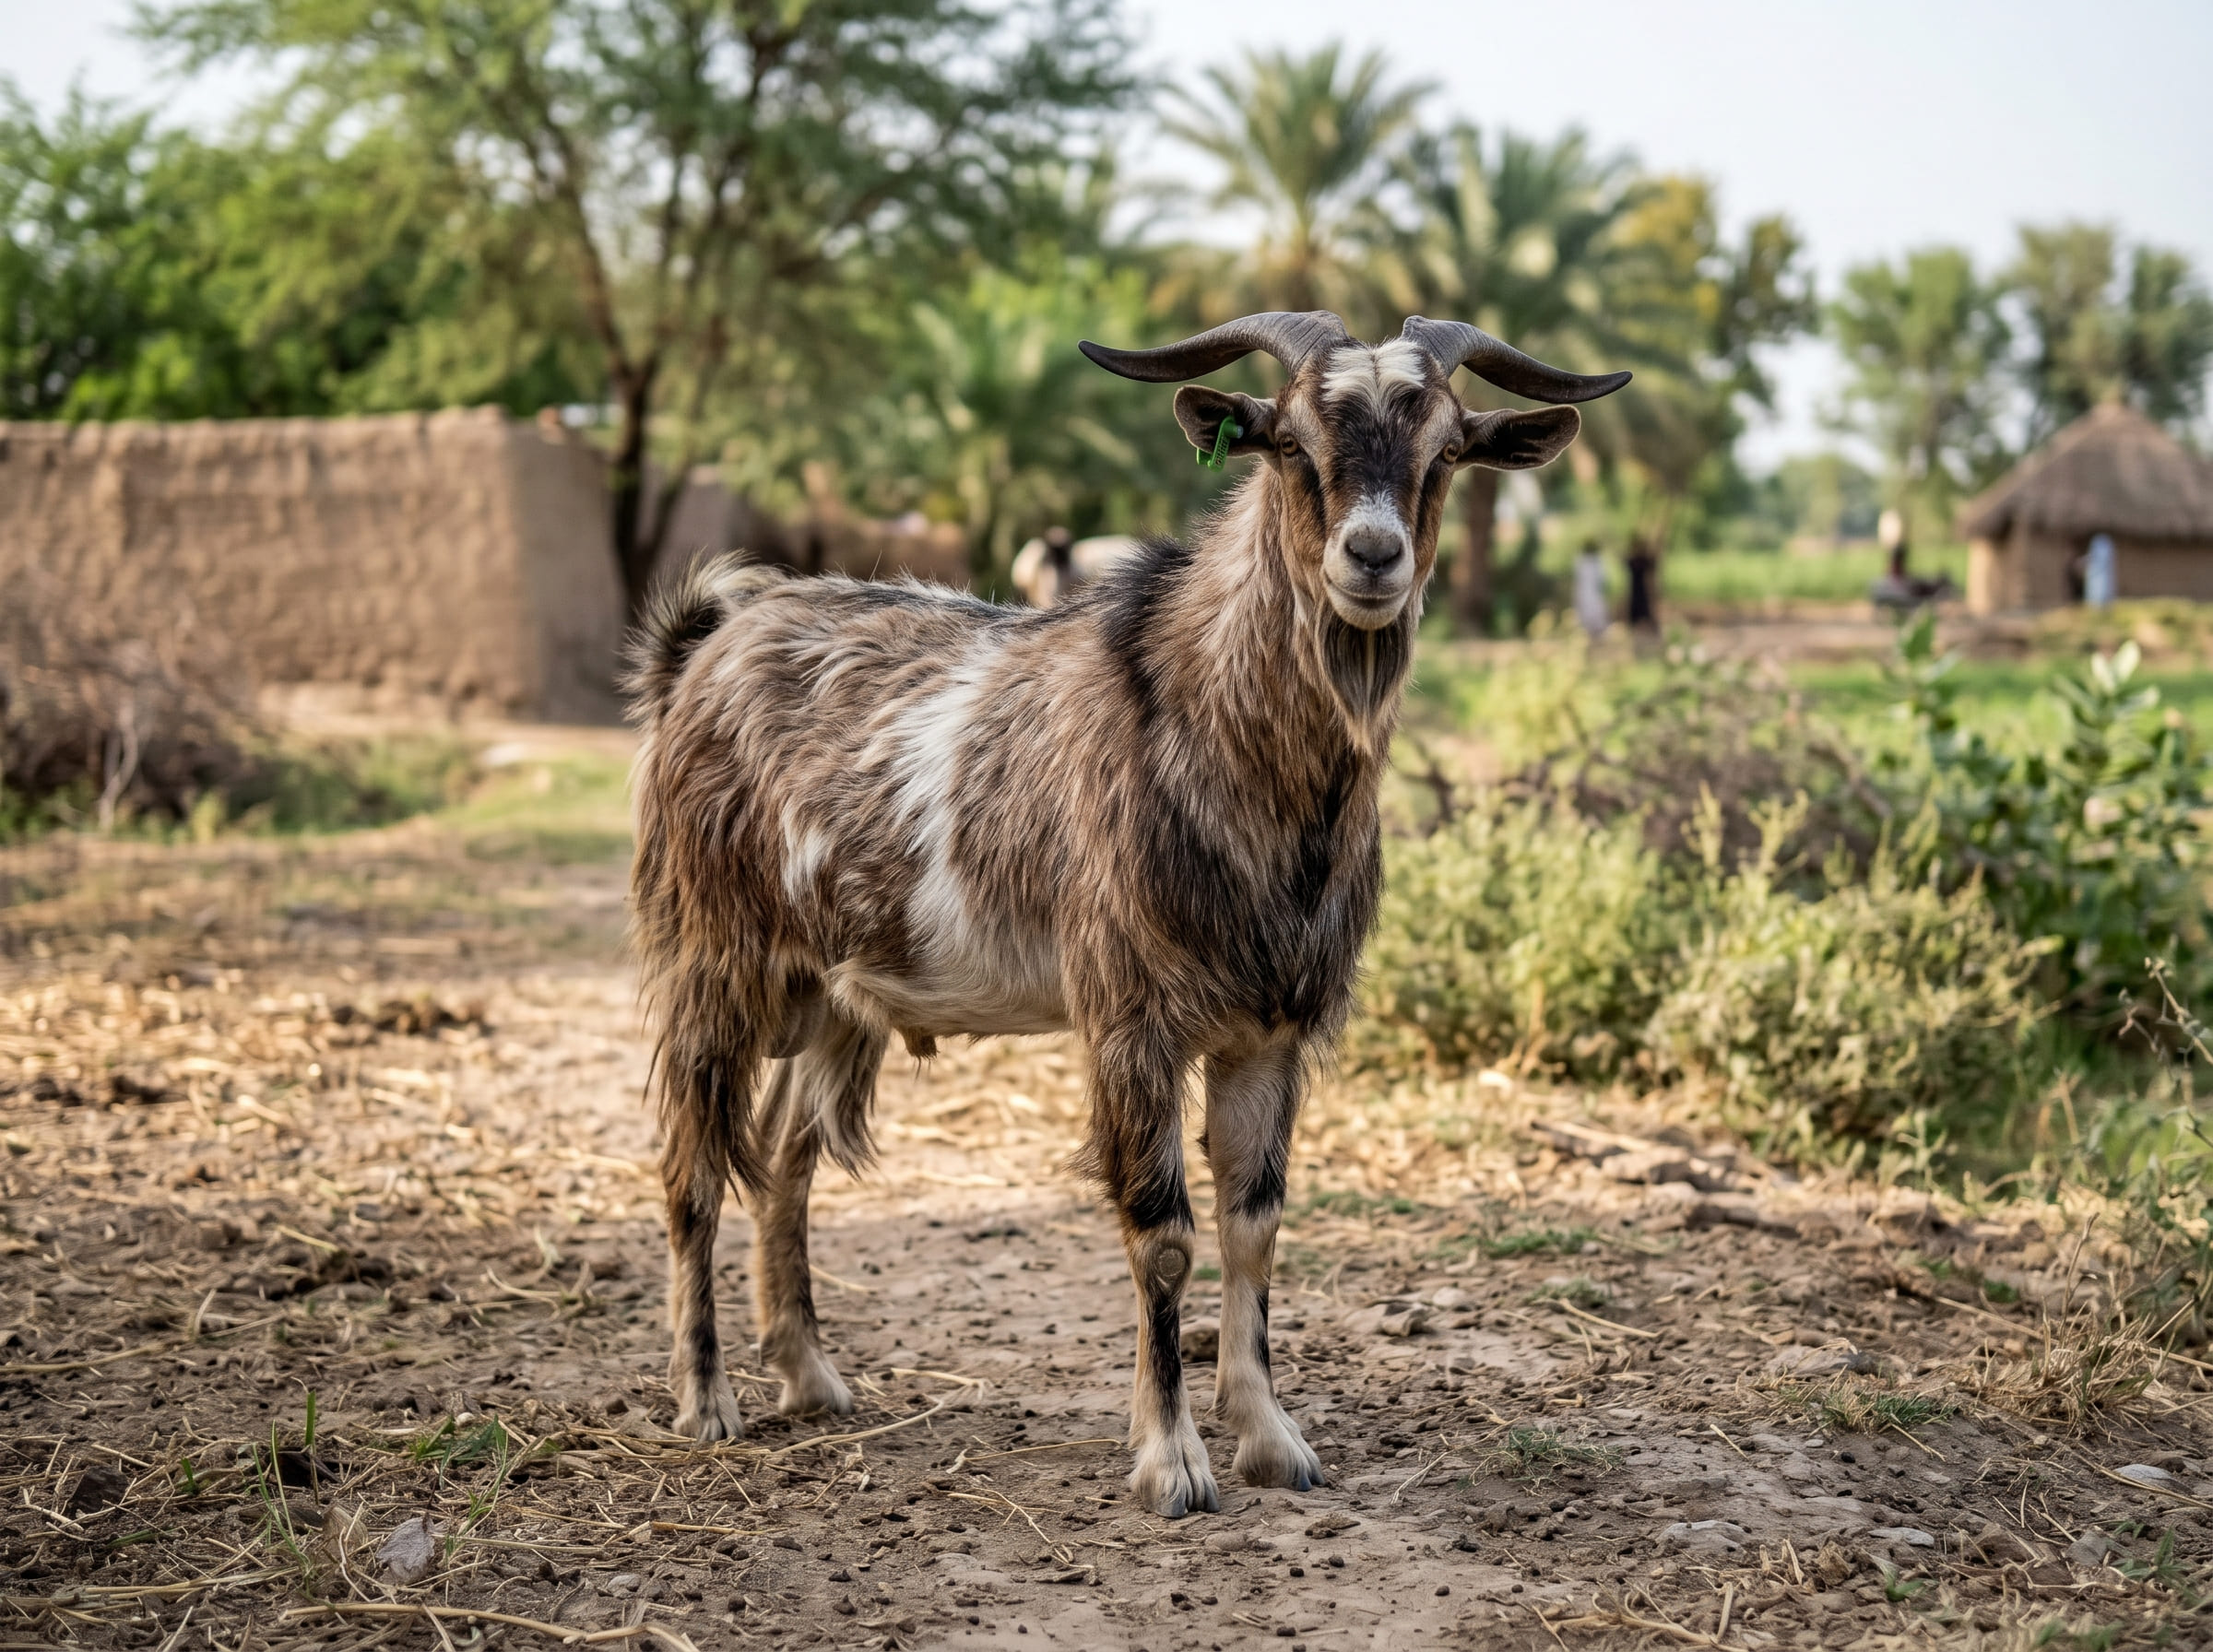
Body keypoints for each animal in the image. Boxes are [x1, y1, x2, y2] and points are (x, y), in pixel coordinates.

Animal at [624, 310, 1628, 1518]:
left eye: (1444, 453)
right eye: (1291, 445)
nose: (1372, 557)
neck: (1219, 740)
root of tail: (701, 650)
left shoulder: (1269, 1028)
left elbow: (1255, 1223)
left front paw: (1272, 1438)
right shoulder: (1130, 1019)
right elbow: (1163, 1233)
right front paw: (1173, 1461)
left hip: (839, 991)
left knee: (784, 1157)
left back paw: (813, 1376)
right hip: (711, 954)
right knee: (690, 1165)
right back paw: (704, 1400)